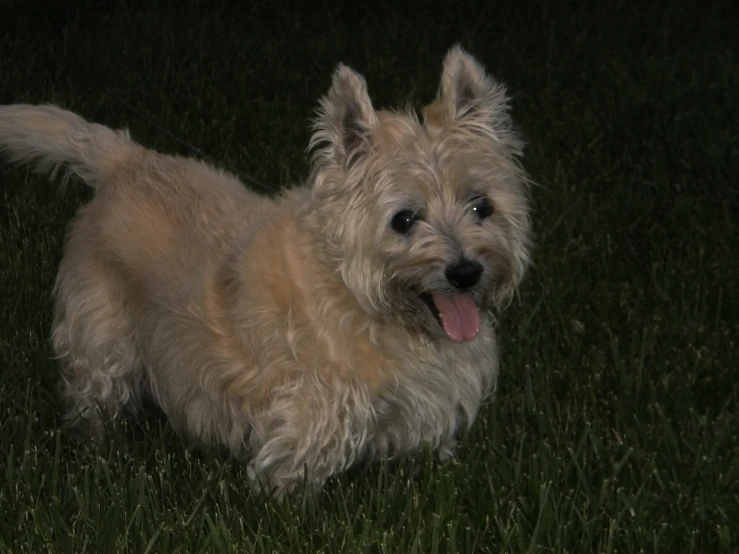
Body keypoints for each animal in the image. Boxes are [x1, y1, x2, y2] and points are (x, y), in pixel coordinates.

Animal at [0, 44, 532, 492]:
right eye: (403, 219)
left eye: (482, 206)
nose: (466, 272)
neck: (366, 305)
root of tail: (125, 161)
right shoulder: (307, 424)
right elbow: (291, 491)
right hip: (100, 338)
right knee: (93, 397)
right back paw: (102, 451)